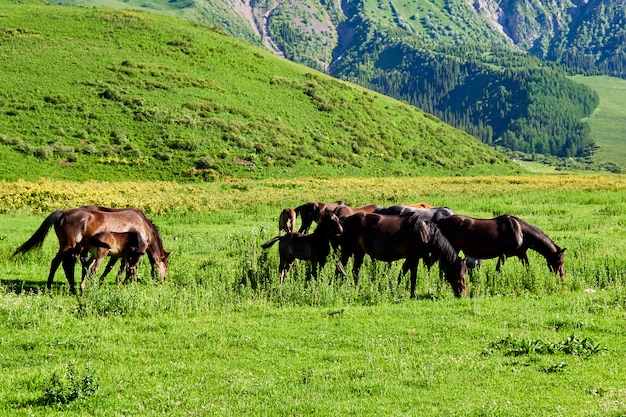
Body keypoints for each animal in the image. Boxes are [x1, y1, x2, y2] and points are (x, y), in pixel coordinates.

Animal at [12, 206, 168, 292]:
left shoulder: (119, 253)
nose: (164, 281)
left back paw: (73, 288)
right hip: (69, 246)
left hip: (73, 248)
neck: (142, 226)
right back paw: (52, 288)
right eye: (166, 265)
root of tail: (62, 213)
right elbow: (128, 267)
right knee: (58, 263)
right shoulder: (131, 252)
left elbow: (115, 267)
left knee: (67, 265)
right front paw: (128, 283)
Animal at [336, 213, 464, 298]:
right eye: (460, 275)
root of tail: (345, 219)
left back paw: (356, 289)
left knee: (354, 271)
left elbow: (407, 276)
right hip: (347, 250)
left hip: (359, 252)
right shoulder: (412, 258)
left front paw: (406, 293)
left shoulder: (413, 259)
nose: (463, 293)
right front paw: (400, 292)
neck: (427, 233)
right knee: (340, 268)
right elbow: (406, 276)